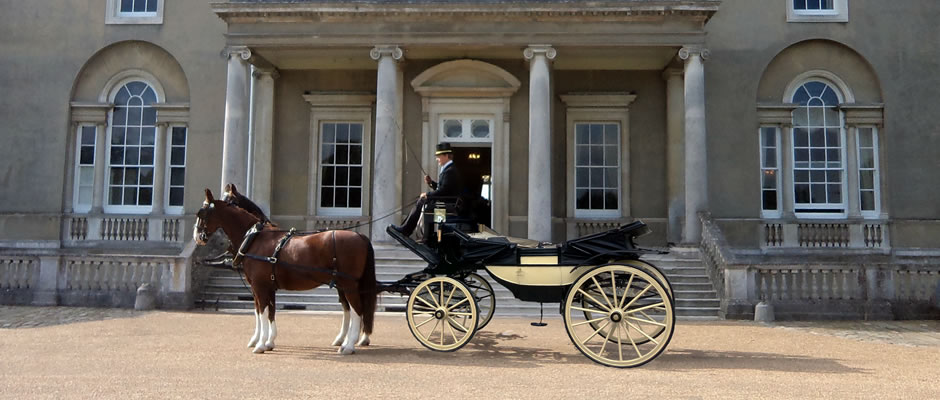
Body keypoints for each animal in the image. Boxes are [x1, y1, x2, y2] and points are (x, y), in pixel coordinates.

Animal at [193, 188, 376, 354]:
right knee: (350, 309)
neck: (255, 238)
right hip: (343, 285)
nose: (197, 237)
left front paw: (260, 344)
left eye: (201, 213)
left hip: (349, 285)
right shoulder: (266, 287)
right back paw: (345, 341)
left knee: (356, 310)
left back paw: (349, 345)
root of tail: (360, 236)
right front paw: (268, 342)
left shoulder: (259, 287)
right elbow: (268, 312)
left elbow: (262, 311)